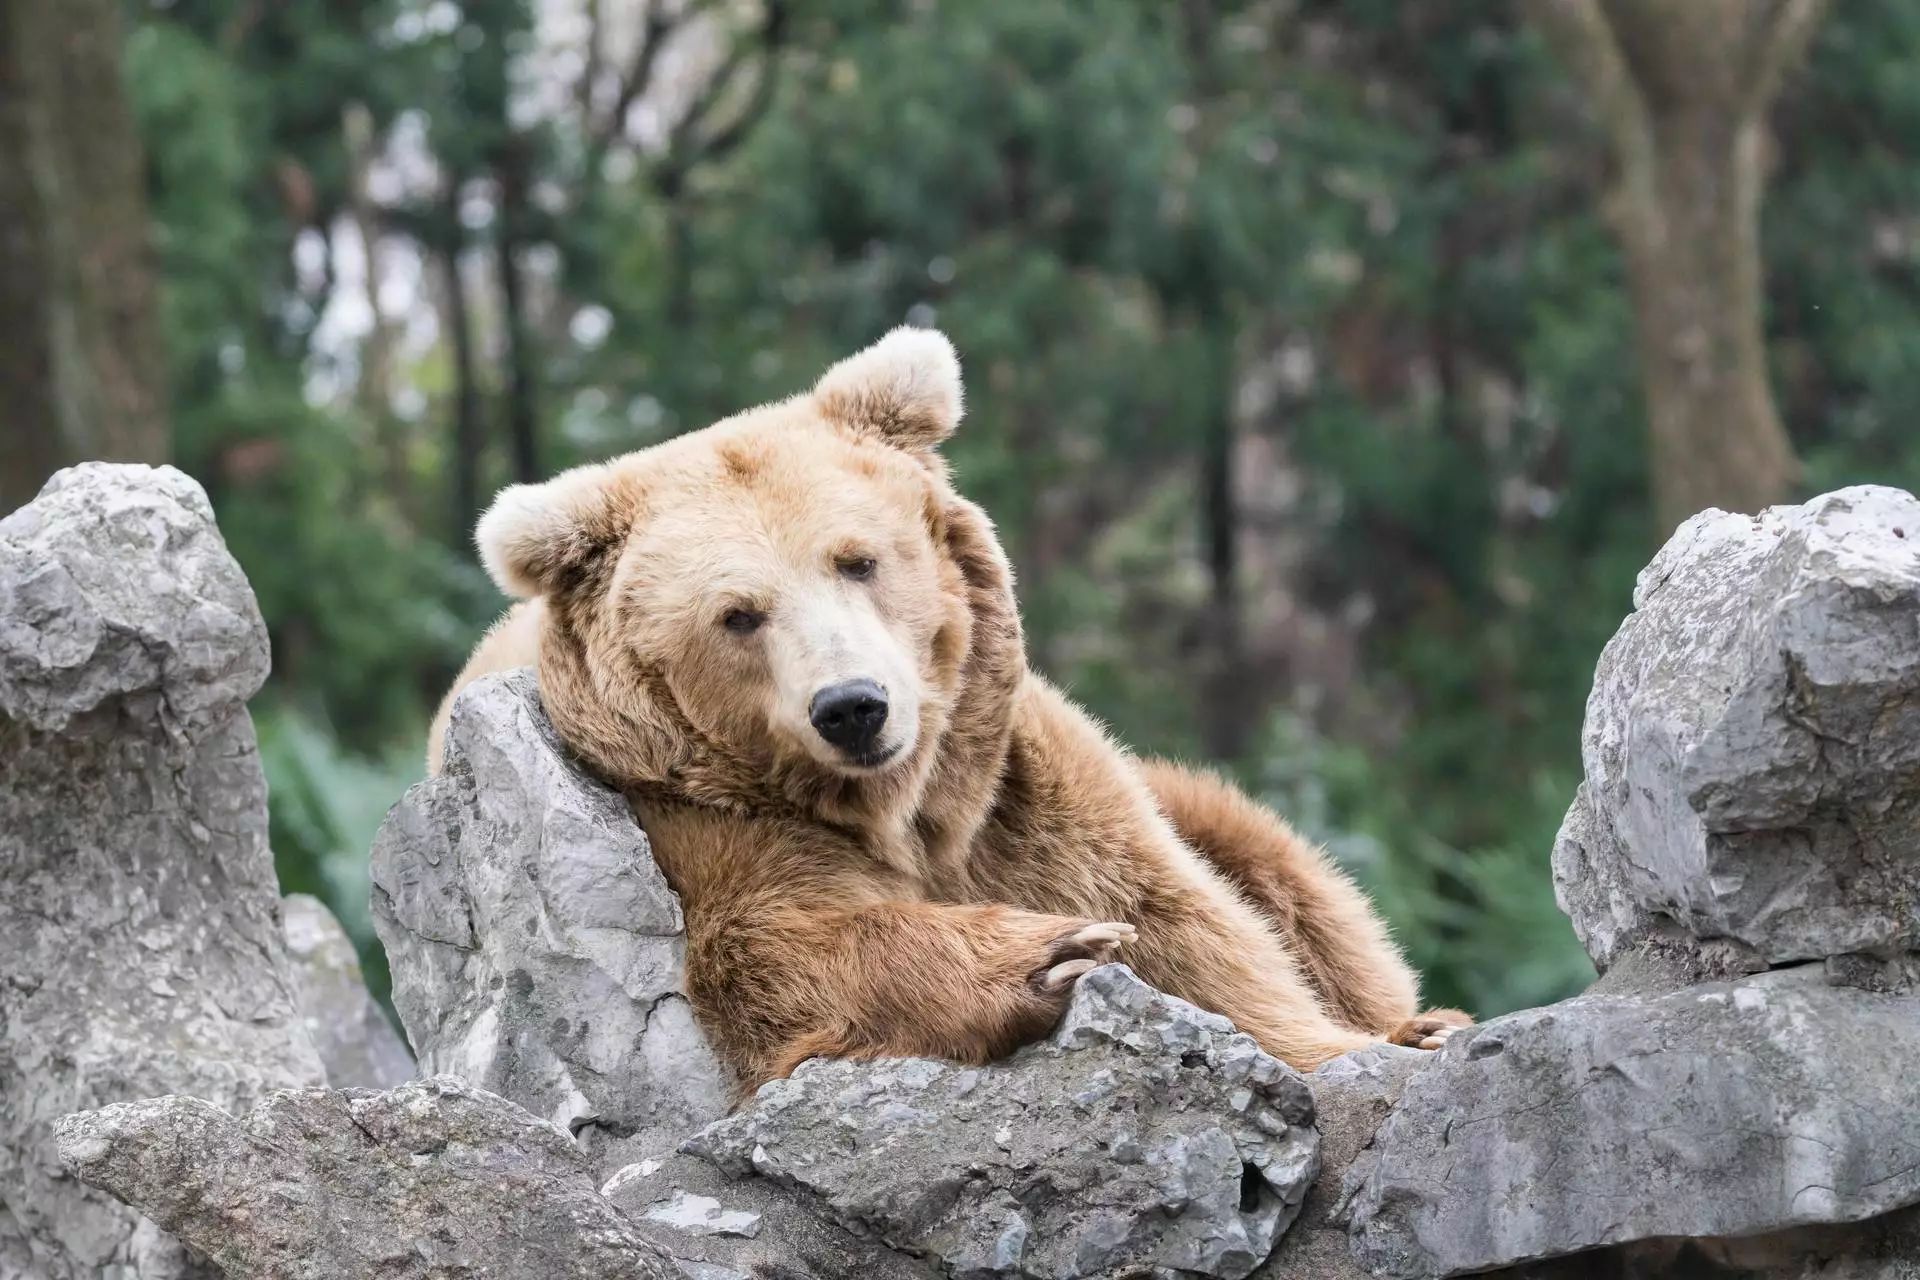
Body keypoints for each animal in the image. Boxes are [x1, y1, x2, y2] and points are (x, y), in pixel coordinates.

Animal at [428, 328, 1459, 1090]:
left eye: (856, 559)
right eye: (738, 615)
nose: (852, 707)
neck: (905, 812)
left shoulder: (1019, 786)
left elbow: (1195, 927)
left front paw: (1377, 1042)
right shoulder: (697, 818)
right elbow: (784, 947)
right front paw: (1052, 951)